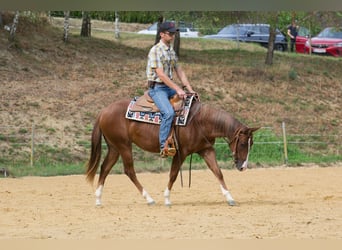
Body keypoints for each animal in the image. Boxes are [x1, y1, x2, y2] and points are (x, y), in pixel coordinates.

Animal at [85, 98, 260, 207]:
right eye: (243, 143)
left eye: (251, 144)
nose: (243, 166)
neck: (200, 121)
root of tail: (103, 111)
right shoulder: (181, 152)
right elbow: (173, 174)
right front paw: (167, 199)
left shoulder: (206, 150)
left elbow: (218, 172)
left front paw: (230, 198)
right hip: (124, 146)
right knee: (129, 171)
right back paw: (149, 199)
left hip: (114, 147)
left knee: (105, 168)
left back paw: (98, 200)